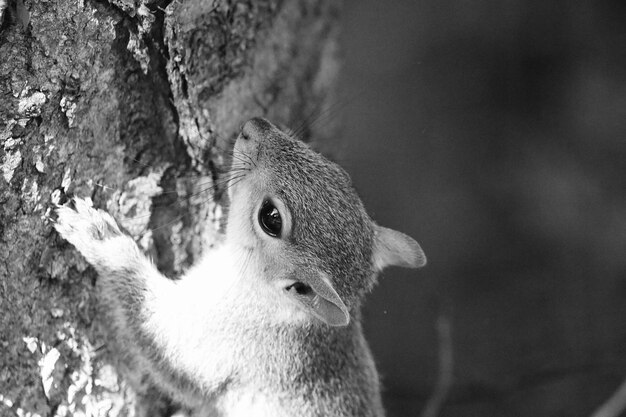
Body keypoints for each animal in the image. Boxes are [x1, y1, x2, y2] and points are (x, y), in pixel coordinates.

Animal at [53, 117, 426, 416]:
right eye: (339, 174)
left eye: (271, 218)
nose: (254, 125)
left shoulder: (225, 340)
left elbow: (157, 337)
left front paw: (102, 239)